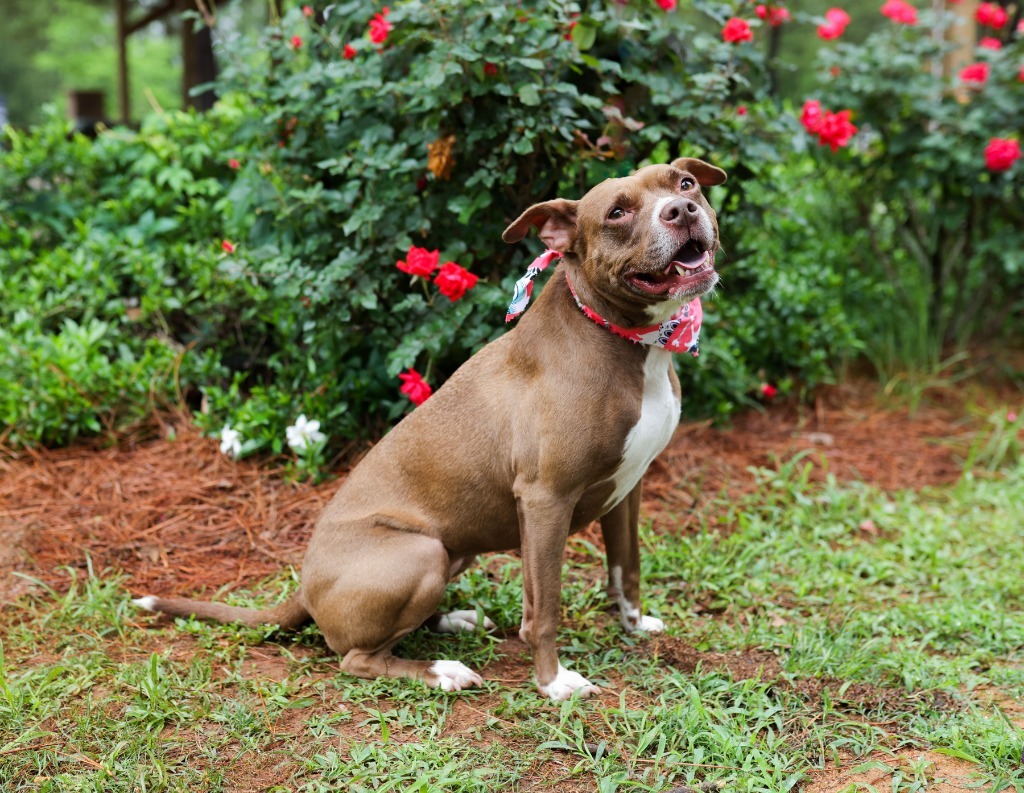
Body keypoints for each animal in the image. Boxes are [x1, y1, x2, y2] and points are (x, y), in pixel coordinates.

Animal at [134, 156, 729, 700]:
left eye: (684, 183)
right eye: (617, 213)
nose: (682, 211)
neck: (621, 337)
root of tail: (304, 590)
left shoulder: (628, 488)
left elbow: (626, 569)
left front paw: (635, 625)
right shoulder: (545, 500)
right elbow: (545, 608)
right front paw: (553, 682)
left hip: (451, 550)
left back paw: (455, 620)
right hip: (419, 554)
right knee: (356, 657)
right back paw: (443, 670)